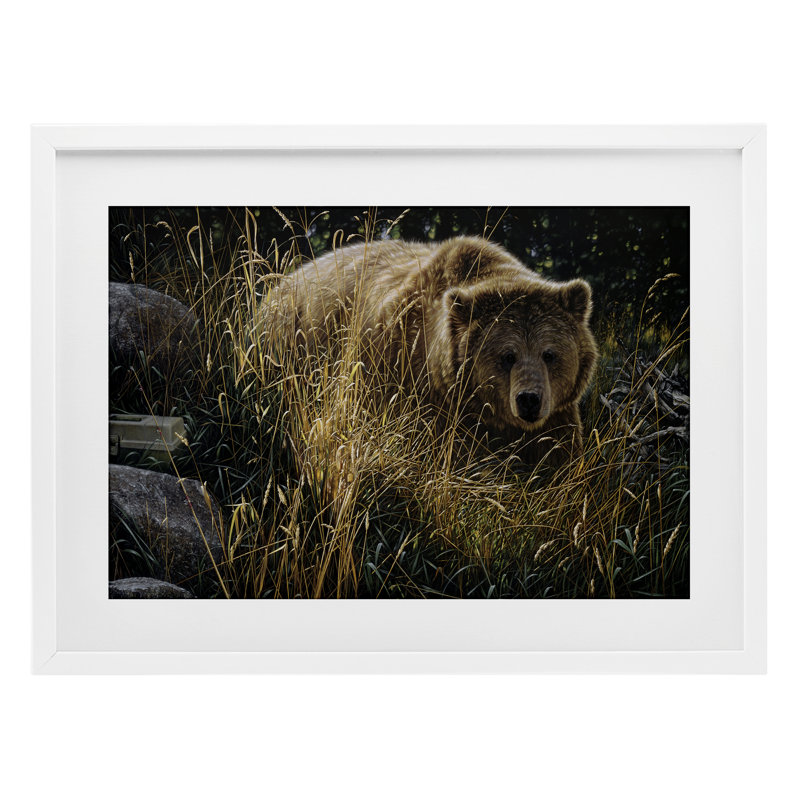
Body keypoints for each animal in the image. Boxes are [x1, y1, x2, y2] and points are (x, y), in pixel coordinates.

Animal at [260, 235, 598, 469]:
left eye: (549, 354)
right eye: (507, 355)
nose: (529, 400)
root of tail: (278, 286)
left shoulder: (556, 416)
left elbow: (558, 461)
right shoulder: (409, 384)